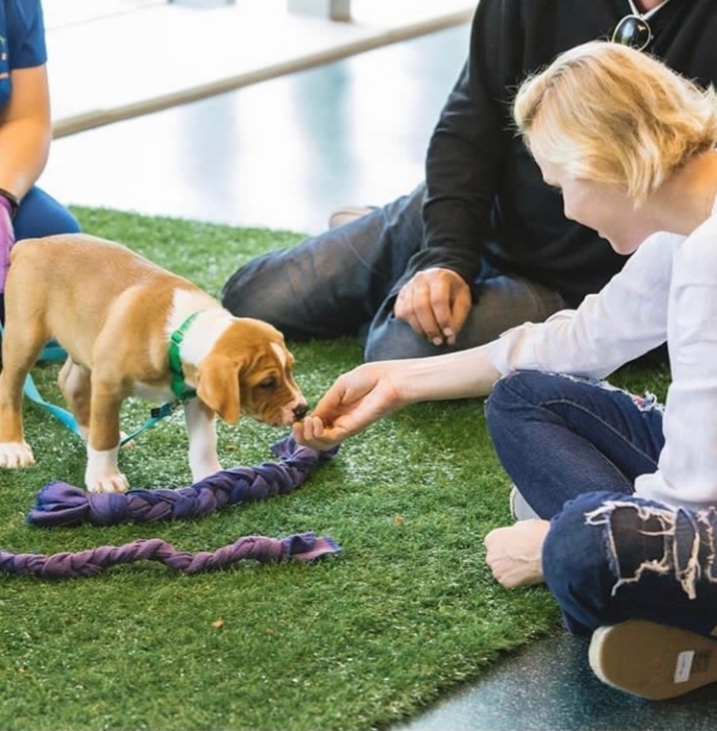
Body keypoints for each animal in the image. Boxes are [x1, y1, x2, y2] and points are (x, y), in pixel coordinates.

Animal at [0, 233, 308, 498]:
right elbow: (105, 435)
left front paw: (212, 476)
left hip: (83, 345)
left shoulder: (198, 398)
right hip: (24, 337)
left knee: (71, 385)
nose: (302, 410)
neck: (181, 333)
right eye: (266, 383)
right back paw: (14, 447)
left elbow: (205, 443)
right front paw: (104, 477)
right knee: (11, 389)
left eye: (291, 369)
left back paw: (88, 432)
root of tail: (32, 244)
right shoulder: (108, 385)